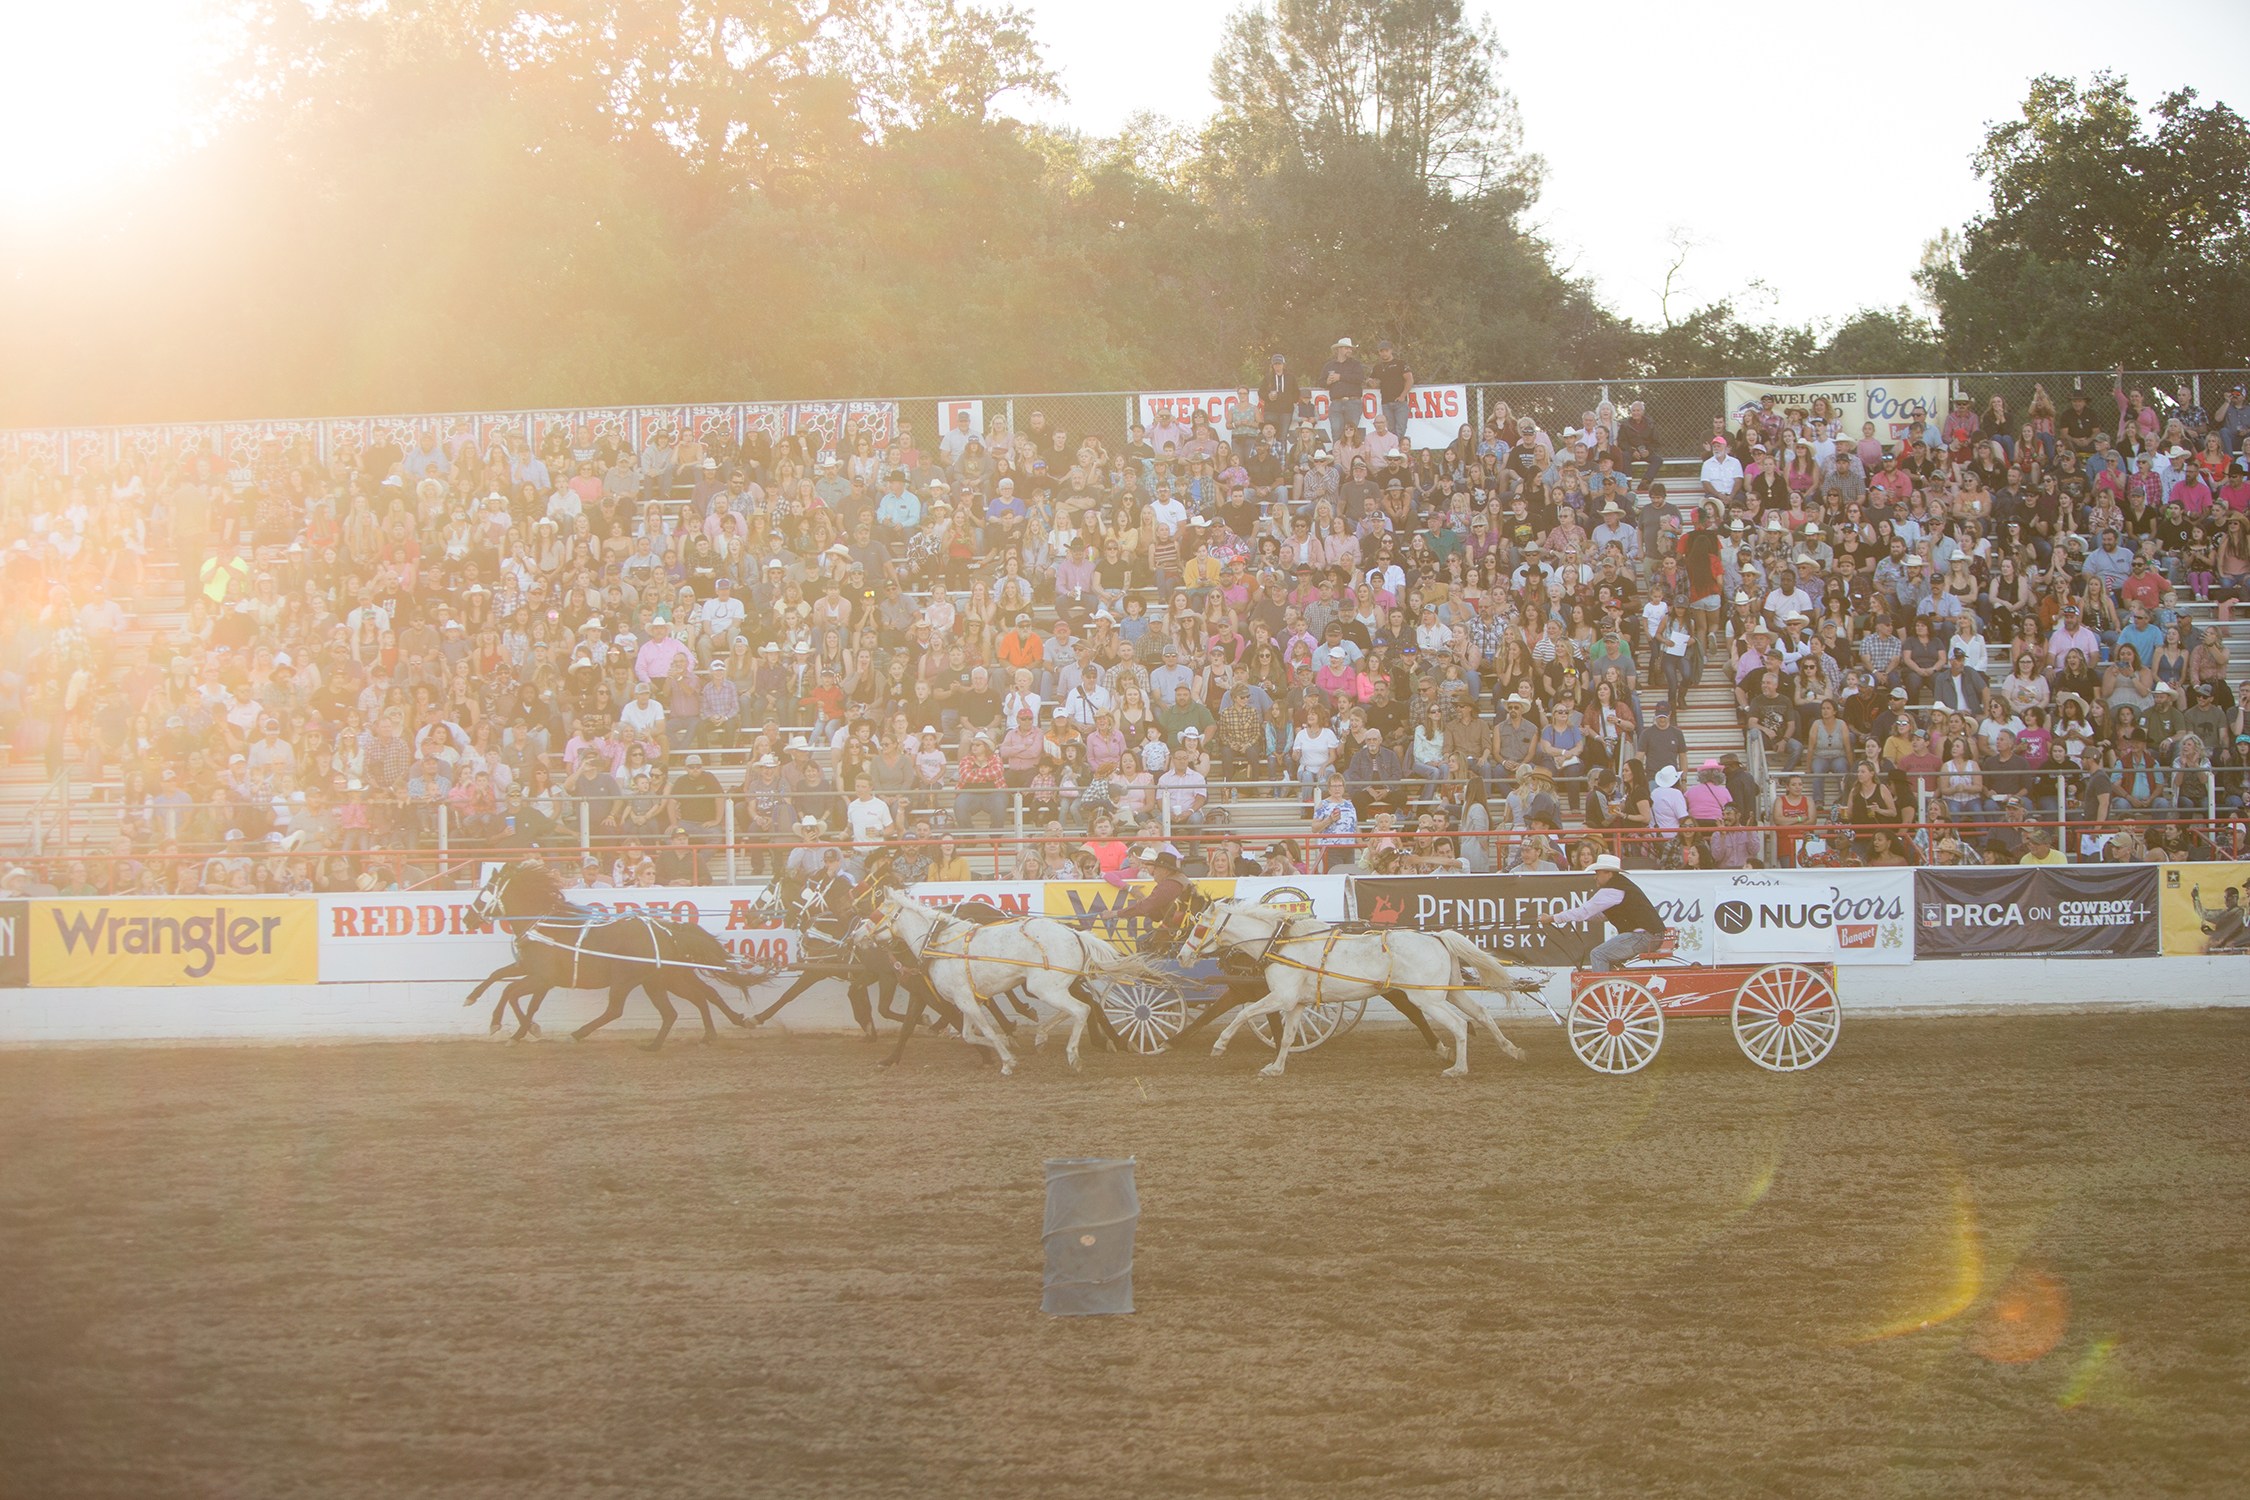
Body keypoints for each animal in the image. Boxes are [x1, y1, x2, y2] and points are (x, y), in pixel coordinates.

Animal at [461, 863, 778, 1052]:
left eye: (483, 893)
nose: (467, 919)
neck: (545, 925)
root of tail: (669, 930)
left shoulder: (541, 977)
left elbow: (511, 993)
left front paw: (503, 1026)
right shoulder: (530, 971)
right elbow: (499, 979)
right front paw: (477, 1001)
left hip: (628, 980)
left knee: (618, 1010)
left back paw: (579, 1034)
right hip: (664, 979)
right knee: (695, 1000)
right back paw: (696, 1036)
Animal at [859, 886, 1170, 1074]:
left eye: (875, 913)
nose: (856, 936)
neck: (939, 943)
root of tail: (1074, 933)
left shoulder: (963, 999)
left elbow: (985, 1030)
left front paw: (1006, 1060)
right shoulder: (963, 999)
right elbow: (968, 1032)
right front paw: (1002, 1048)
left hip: (1043, 988)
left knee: (1081, 1009)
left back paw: (1075, 1054)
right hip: (1048, 987)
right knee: (1081, 1006)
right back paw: (1044, 1036)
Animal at [1179, 904, 1530, 1079]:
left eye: (1199, 928)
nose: (1182, 956)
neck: (1281, 945)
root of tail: (1438, 937)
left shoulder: (1282, 997)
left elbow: (1244, 1015)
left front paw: (1220, 1045)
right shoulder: (1296, 1004)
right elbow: (1289, 1036)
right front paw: (1276, 1068)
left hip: (1426, 998)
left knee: (1458, 1024)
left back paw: (1458, 1068)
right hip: (1448, 992)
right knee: (1480, 1014)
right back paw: (1513, 1050)